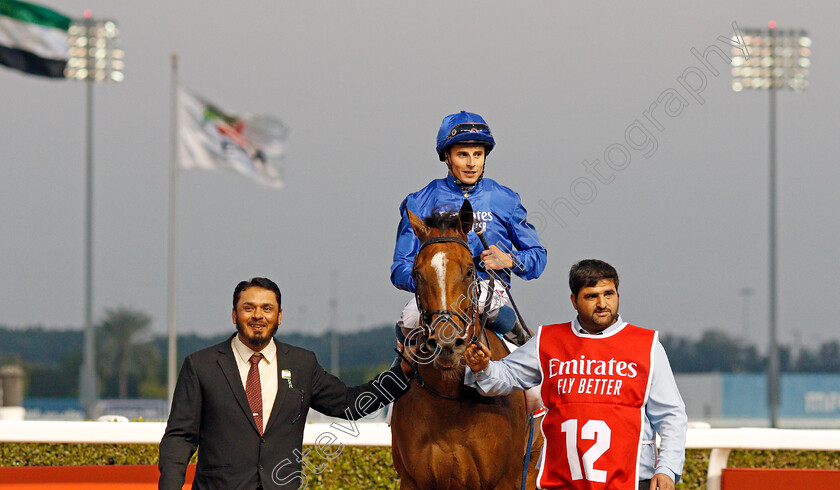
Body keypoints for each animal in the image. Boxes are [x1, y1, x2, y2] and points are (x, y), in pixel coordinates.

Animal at [390, 200, 540, 490]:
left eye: (470, 270)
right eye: (417, 274)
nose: (447, 344)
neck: (450, 400)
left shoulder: (503, 480)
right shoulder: (414, 481)